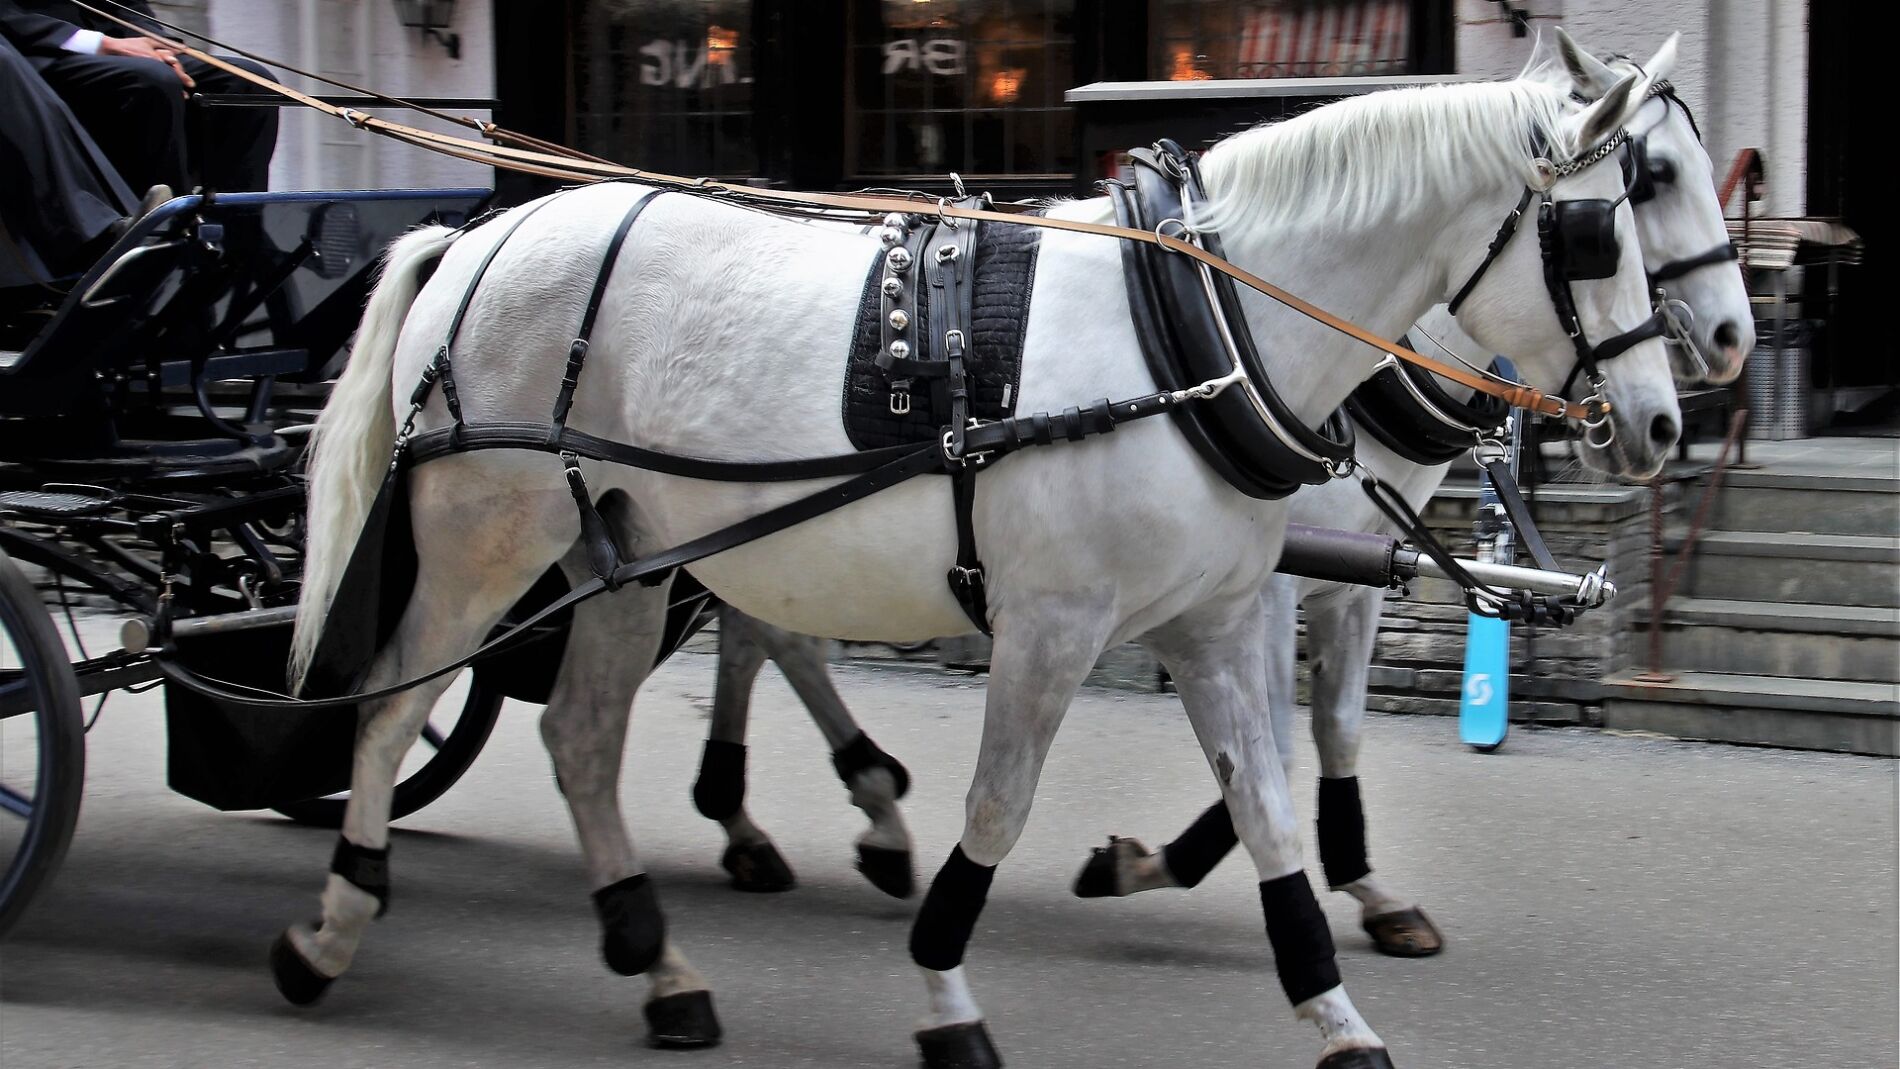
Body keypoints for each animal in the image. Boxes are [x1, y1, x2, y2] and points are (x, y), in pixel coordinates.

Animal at [275, 70, 1676, 1069]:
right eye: (1603, 230)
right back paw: (334, 924)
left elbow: (1272, 804)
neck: (1196, 334)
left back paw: (659, 960)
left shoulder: (1220, 619)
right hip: (486, 542)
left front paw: (1340, 1024)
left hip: (624, 549)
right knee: (394, 707)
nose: (1666, 421)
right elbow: (997, 812)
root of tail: (477, 237)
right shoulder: (1053, 625)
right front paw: (946, 995)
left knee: (579, 734)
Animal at [1070, 29, 1755, 960]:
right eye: (1652, 175)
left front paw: (1367, 887)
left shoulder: (1356, 571)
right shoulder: (1267, 582)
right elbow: (1273, 741)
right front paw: (1159, 862)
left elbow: (1336, 726)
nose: (1732, 337)